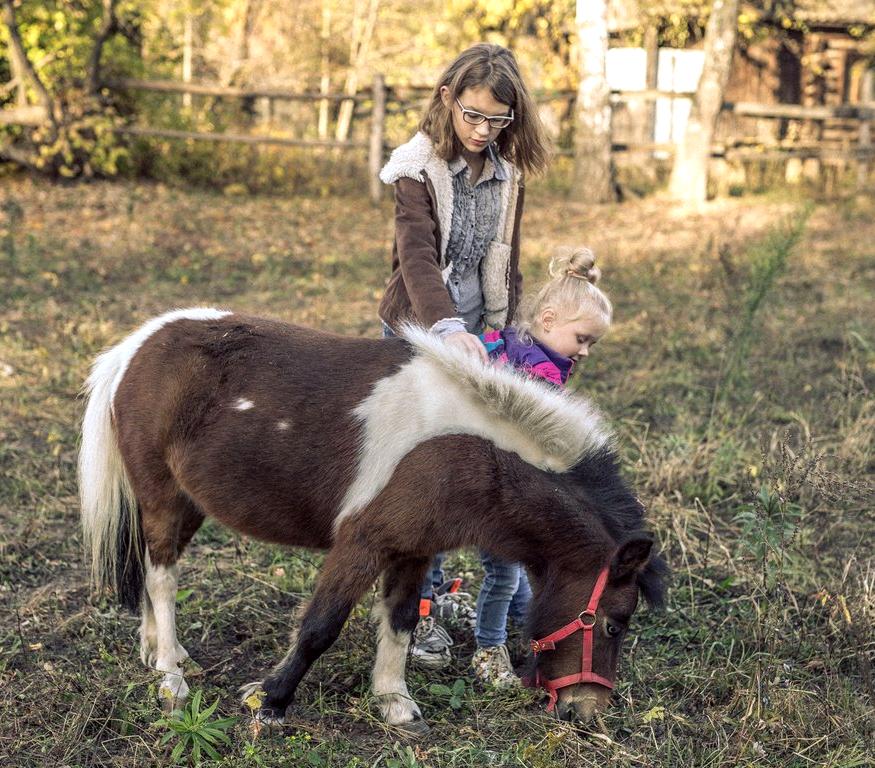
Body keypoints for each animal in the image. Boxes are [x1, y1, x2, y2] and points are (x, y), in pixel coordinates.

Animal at [78, 308, 664, 728]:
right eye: (614, 622)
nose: (587, 711)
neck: (461, 448)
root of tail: (137, 346)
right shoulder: (362, 544)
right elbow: (320, 627)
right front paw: (269, 700)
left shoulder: (413, 549)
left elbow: (401, 620)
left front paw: (394, 702)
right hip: (161, 495)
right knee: (162, 577)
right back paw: (171, 679)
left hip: (188, 503)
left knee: (155, 570)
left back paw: (162, 653)